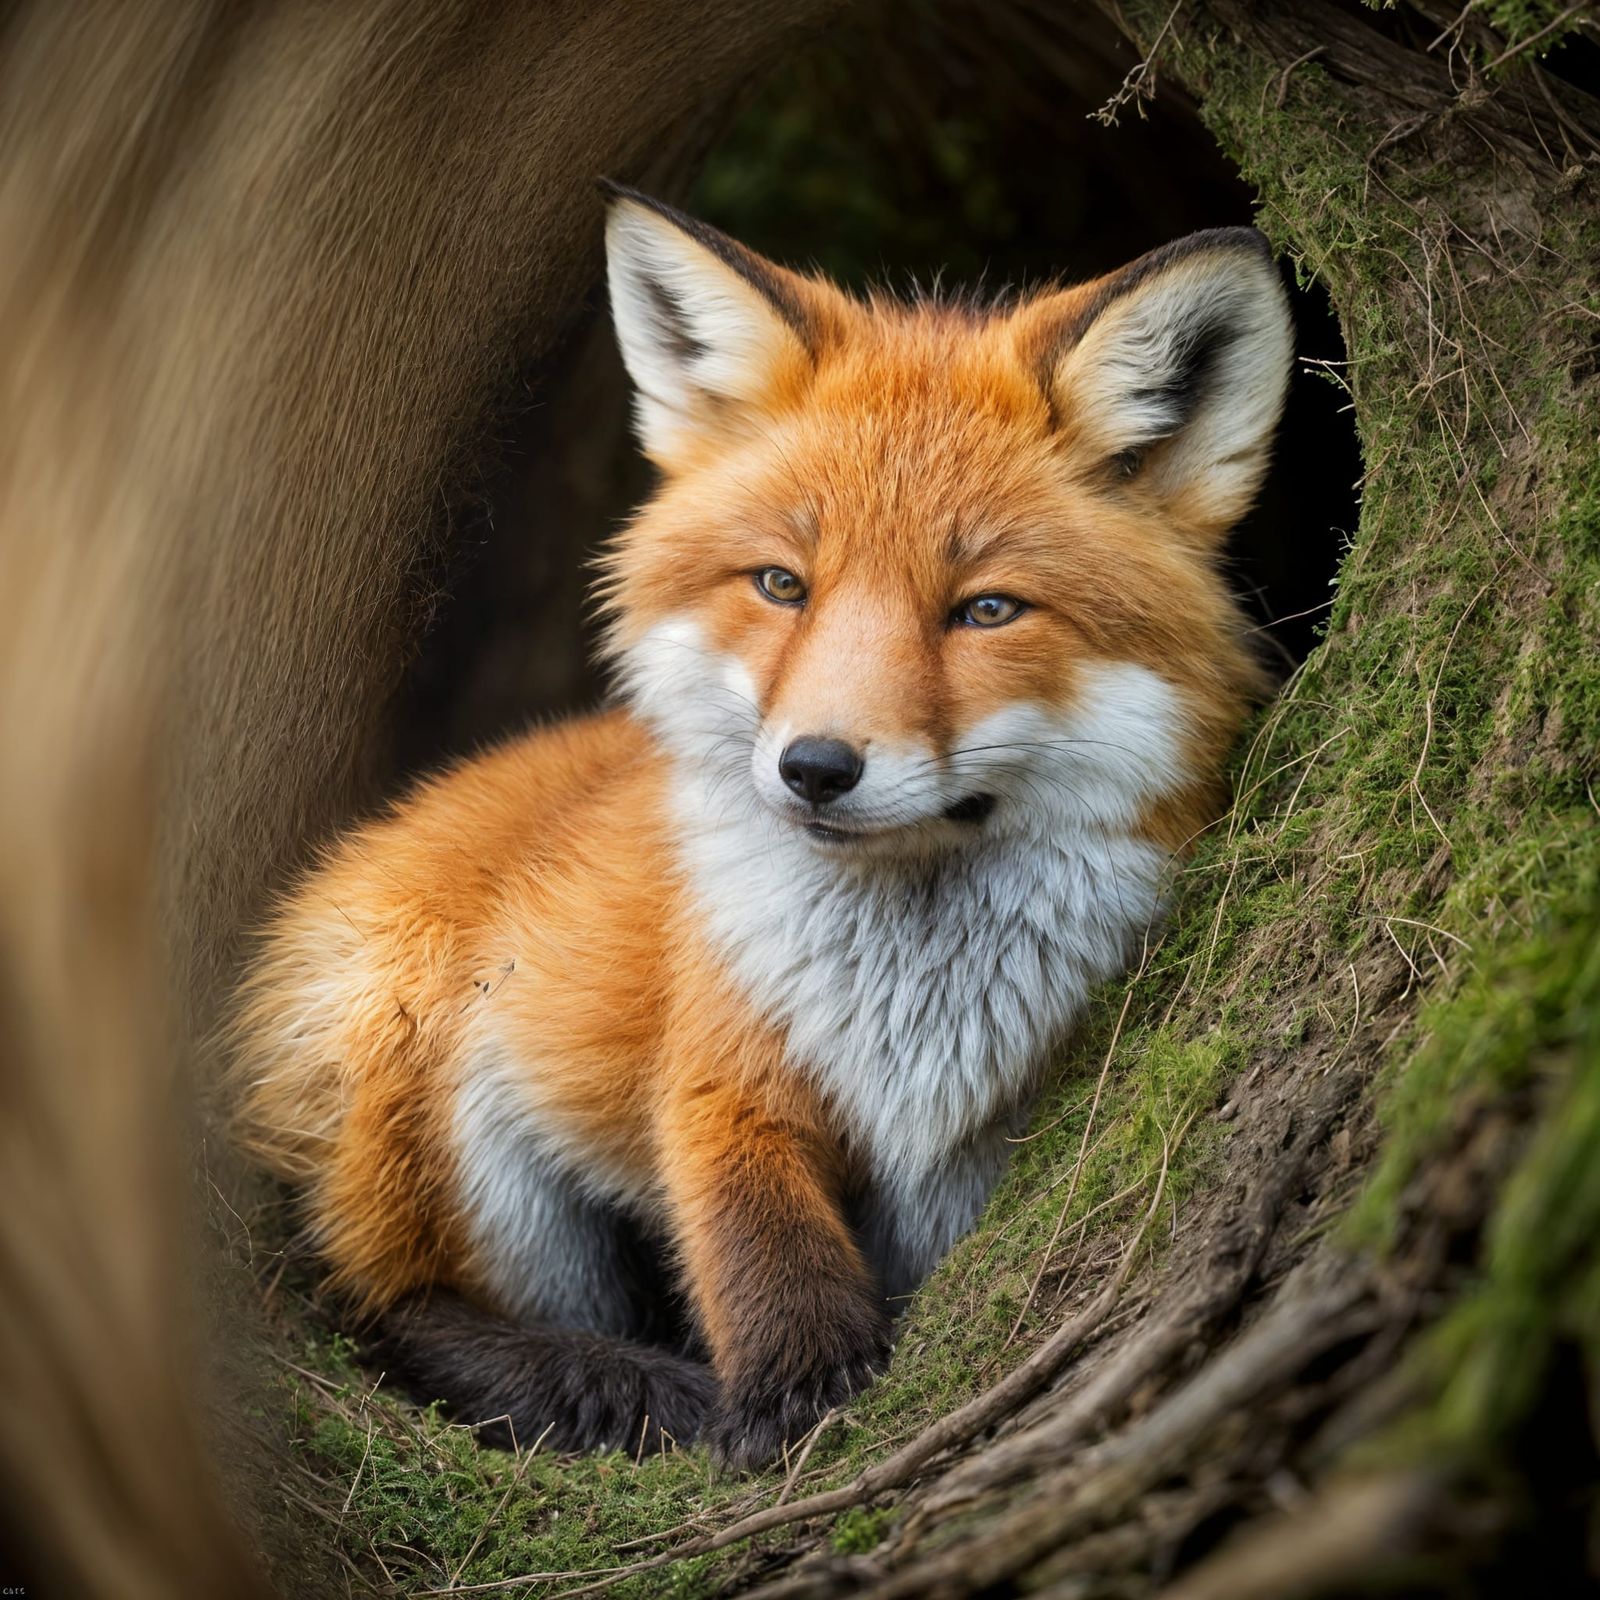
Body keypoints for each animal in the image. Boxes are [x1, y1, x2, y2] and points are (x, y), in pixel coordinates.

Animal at [230, 185, 1292, 1469]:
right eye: (784, 585)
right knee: (386, 1300)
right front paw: (792, 1397)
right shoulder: (722, 1061)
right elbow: (759, 1245)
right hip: (447, 1115)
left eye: (986, 610)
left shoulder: (987, 1151)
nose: (816, 767)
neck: (907, 1007)